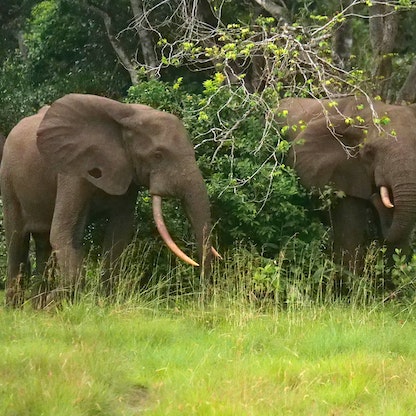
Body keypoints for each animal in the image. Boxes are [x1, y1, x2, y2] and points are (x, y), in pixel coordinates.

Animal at [1, 94, 218, 308]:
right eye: (158, 155)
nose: (203, 302)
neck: (128, 117)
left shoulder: (127, 174)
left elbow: (118, 234)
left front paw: (105, 304)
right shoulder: (72, 171)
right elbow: (62, 232)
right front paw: (57, 301)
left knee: (43, 243)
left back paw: (35, 308)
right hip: (8, 179)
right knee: (17, 240)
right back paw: (16, 308)